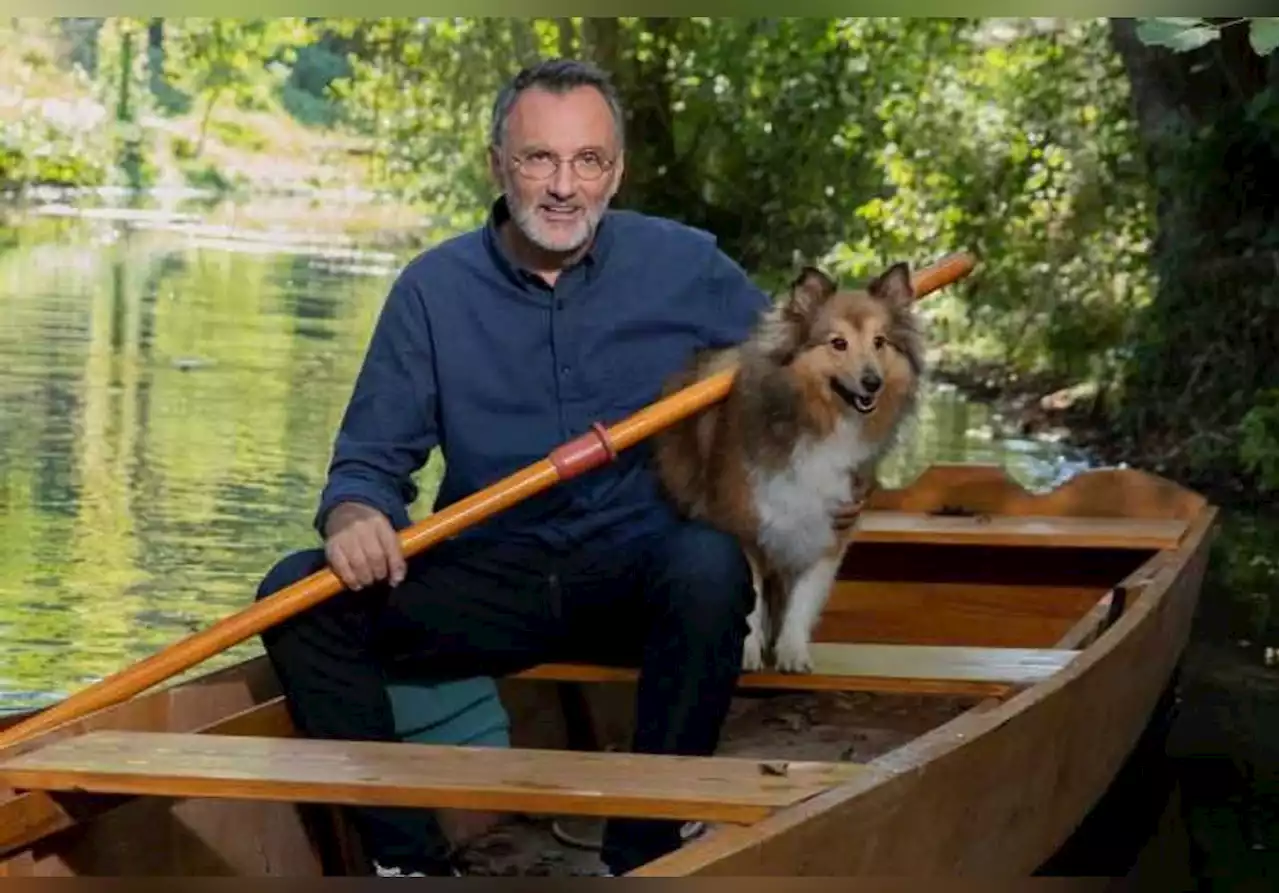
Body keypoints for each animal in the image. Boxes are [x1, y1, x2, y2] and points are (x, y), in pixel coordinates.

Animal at [655, 260, 926, 670]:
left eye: (880, 342)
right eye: (838, 343)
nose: (872, 383)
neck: (822, 425)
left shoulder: (827, 529)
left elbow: (804, 600)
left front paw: (792, 653)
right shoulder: (746, 525)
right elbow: (751, 603)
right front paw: (748, 654)